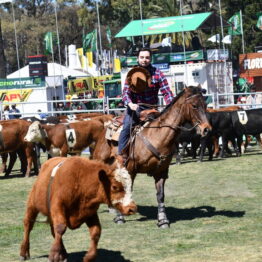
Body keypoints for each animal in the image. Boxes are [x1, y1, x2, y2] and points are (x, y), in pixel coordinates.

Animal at [92, 86, 211, 227]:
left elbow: (160, 195)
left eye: (205, 105)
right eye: (194, 106)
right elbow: (125, 190)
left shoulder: (161, 172)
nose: (206, 129)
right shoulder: (130, 170)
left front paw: (163, 220)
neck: (157, 136)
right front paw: (120, 217)